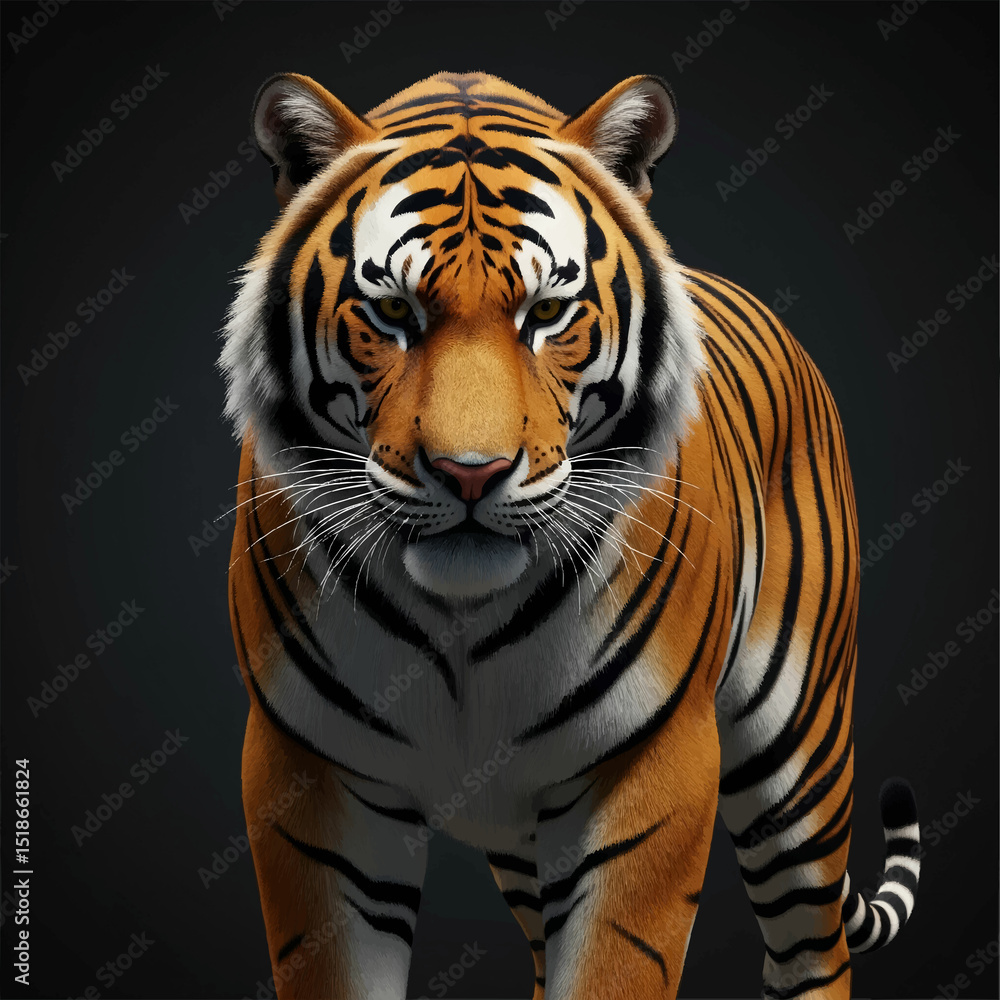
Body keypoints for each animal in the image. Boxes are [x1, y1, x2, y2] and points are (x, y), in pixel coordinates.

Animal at [220, 70, 921, 1000]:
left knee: (815, 946)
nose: (471, 473)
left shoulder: (650, 766)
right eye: (393, 311)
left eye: (547, 312)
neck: (461, 624)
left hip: (794, 754)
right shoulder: (310, 776)